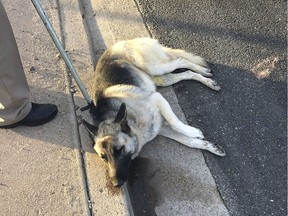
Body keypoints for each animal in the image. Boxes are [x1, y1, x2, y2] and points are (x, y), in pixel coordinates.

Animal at [83, 38, 225, 186]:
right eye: (103, 157)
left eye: (118, 150)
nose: (116, 184)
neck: (134, 126)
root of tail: (120, 43)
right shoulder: (162, 128)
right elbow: (188, 142)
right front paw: (211, 147)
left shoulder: (157, 98)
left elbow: (176, 123)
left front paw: (192, 131)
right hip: (161, 78)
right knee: (186, 73)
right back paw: (207, 80)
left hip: (153, 67)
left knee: (180, 60)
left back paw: (203, 70)